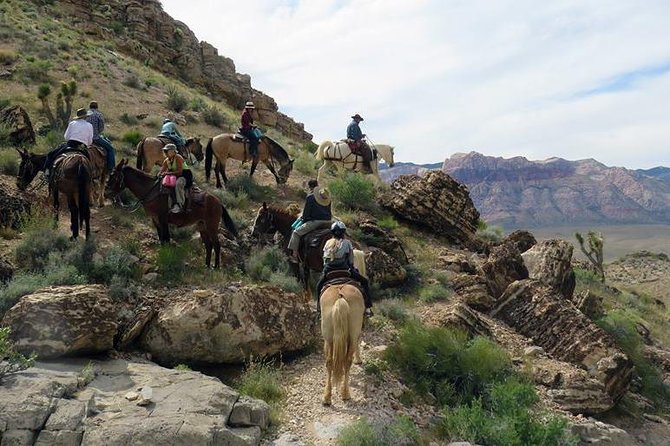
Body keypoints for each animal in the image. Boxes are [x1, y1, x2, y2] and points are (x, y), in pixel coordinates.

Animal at [105, 159, 239, 268]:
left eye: (113, 176)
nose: (106, 192)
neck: (151, 191)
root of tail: (219, 202)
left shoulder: (163, 219)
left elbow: (166, 239)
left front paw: (166, 257)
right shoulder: (155, 220)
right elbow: (161, 239)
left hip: (212, 226)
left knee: (216, 245)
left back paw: (216, 267)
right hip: (202, 226)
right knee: (208, 245)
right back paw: (206, 265)